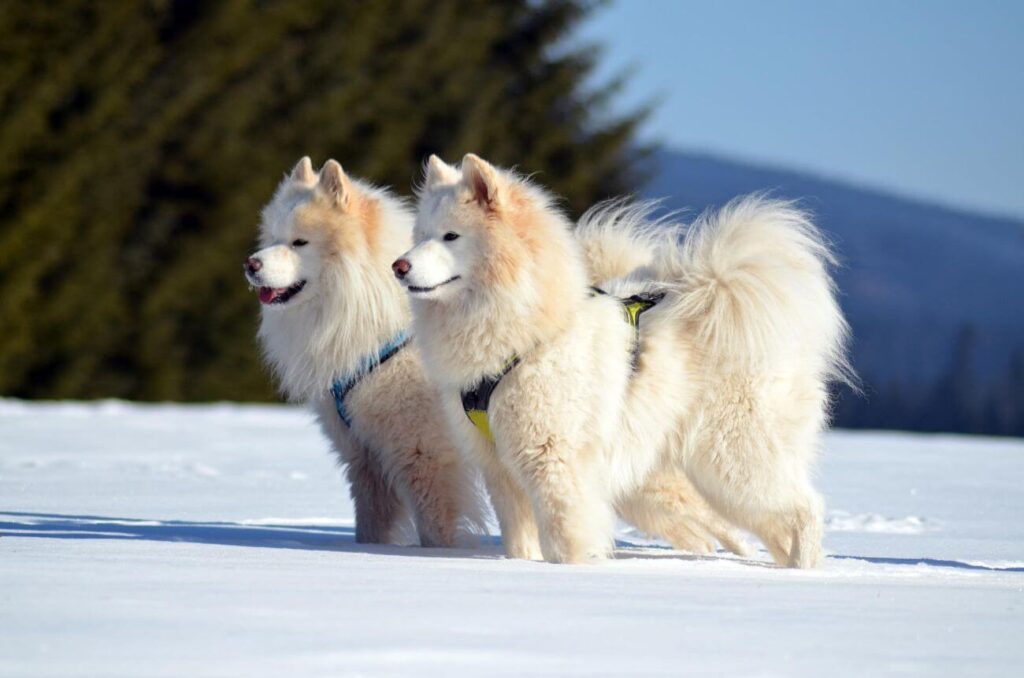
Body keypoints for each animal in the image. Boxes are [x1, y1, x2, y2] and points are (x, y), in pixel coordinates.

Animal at [391, 153, 847, 569]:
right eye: (420, 235)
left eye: (451, 236)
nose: (398, 265)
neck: (530, 332)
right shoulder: (500, 470)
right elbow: (520, 541)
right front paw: (523, 566)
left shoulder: (554, 460)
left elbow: (566, 536)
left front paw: (573, 569)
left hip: (734, 459)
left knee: (806, 508)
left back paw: (805, 572)